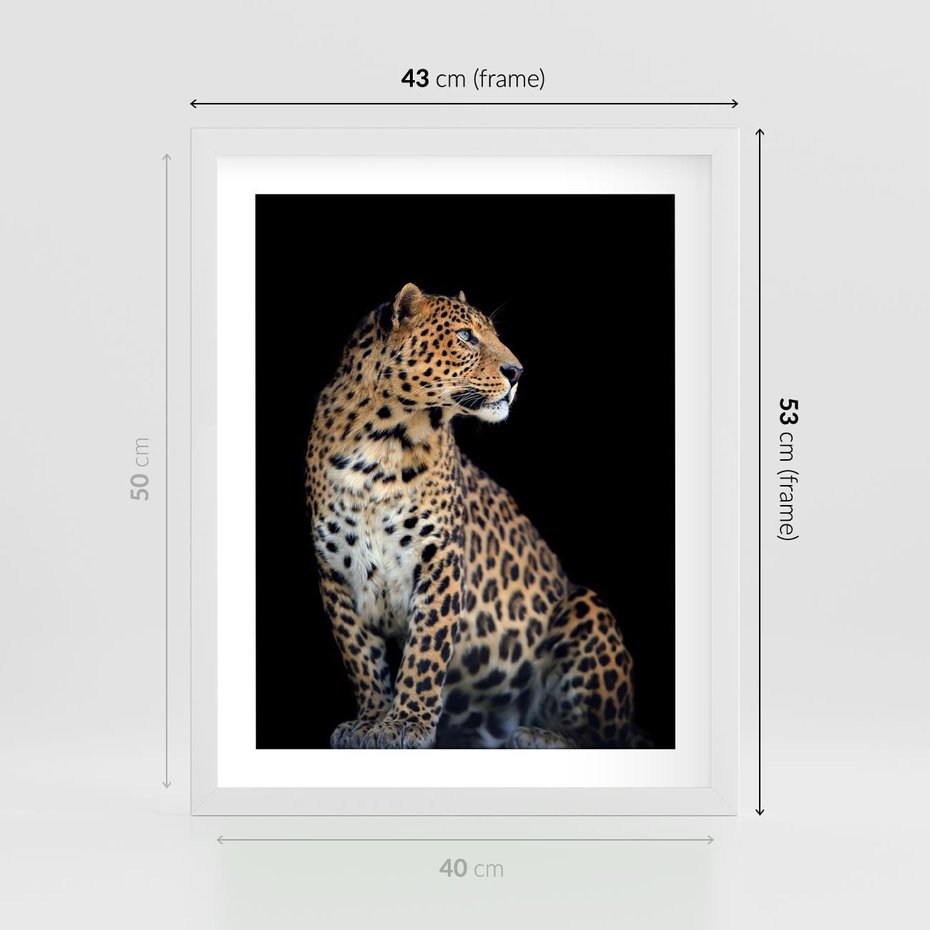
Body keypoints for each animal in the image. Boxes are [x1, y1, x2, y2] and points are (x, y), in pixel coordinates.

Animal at [305, 283, 636, 749]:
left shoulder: (440, 557)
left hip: (586, 606)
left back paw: (540, 736)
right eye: (465, 336)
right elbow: (360, 656)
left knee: (608, 735)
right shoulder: (334, 569)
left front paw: (406, 724)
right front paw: (370, 720)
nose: (517, 372)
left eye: (493, 335)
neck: (381, 442)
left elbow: (425, 649)